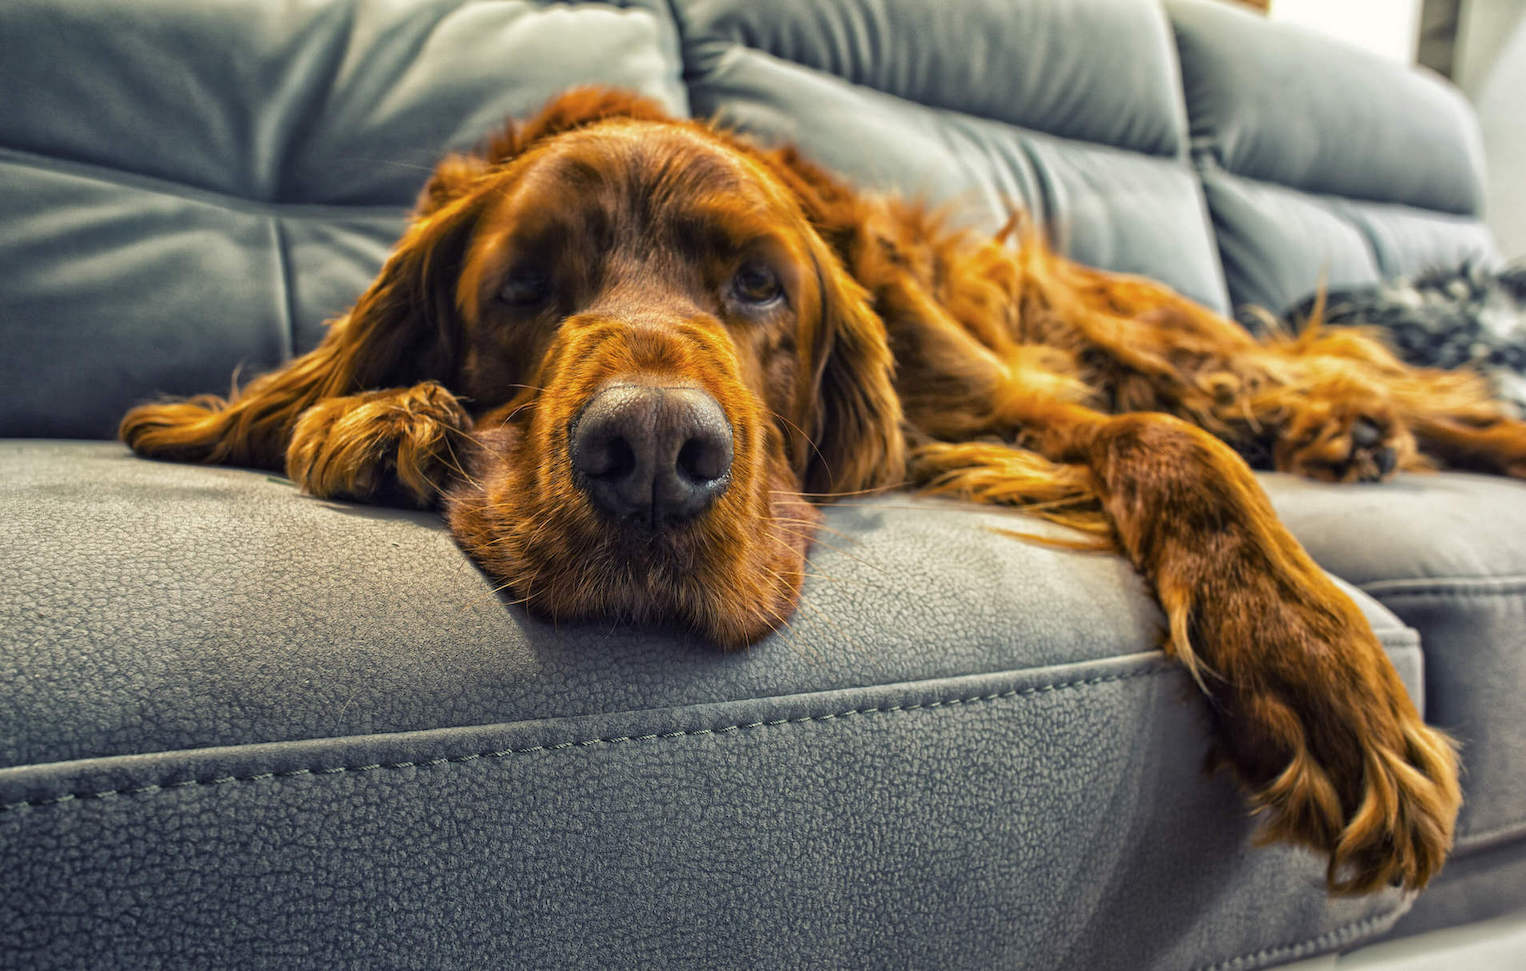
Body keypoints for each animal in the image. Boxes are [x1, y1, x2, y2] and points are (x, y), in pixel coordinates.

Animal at [119, 89, 1526, 897]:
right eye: (521, 289)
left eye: (757, 286)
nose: (649, 457)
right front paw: (382, 417)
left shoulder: (991, 399)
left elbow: (1163, 442)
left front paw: (1319, 675)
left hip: (1139, 335)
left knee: (1316, 385)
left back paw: (1385, 426)